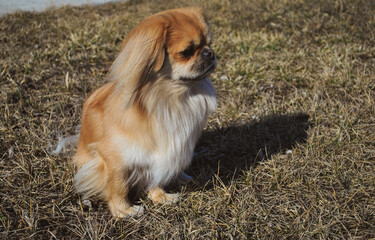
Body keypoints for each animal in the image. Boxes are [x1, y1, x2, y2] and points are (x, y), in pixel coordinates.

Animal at [57, 7, 219, 218]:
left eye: (210, 44)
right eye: (187, 52)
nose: (210, 53)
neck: (171, 100)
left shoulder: (160, 153)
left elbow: (155, 177)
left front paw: (160, 196)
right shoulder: (114, 158)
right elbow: (118, 186)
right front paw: (123, 211)